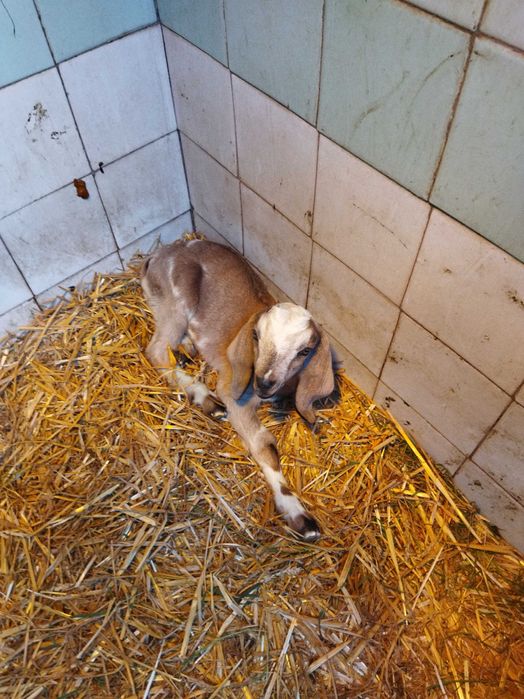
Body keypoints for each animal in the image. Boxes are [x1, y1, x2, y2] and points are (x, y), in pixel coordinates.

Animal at [140, 239, 335, 540]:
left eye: (304, 351)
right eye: (255, 336)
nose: (263, 382)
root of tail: (160, 253)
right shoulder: (234, 391)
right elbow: (264, 445)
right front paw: (299, 515)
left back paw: (187, 349)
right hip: (177, 298)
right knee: (157, 349)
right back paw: (205, 397)